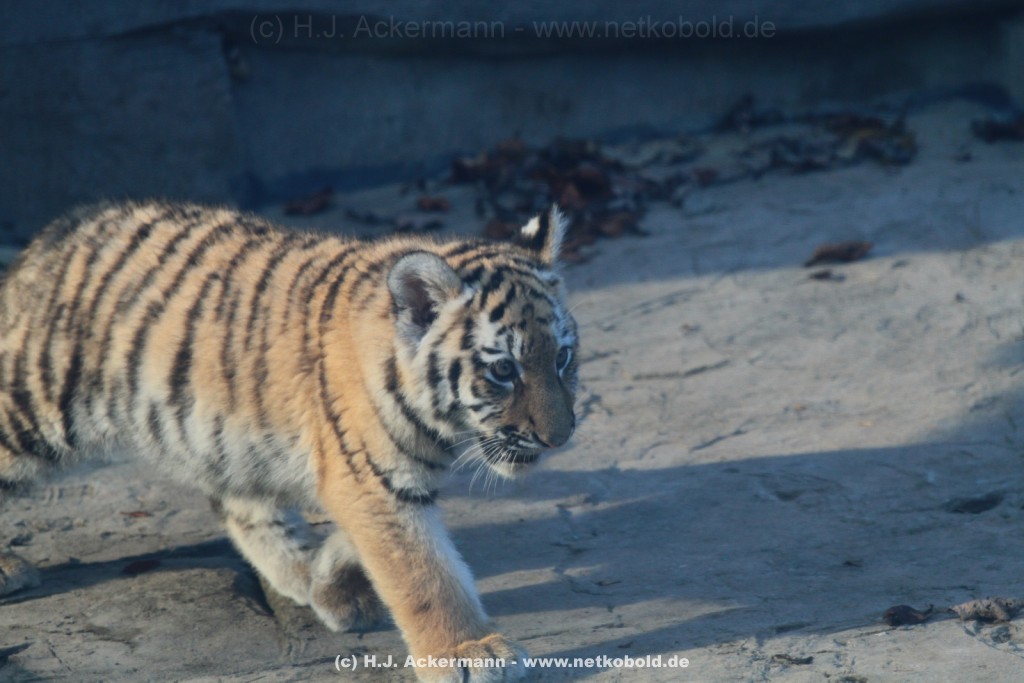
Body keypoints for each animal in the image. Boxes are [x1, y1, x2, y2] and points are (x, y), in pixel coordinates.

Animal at [0, 200, 578, 682]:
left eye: (562, 357)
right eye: (503, 370)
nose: (560, 437)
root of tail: (51, 234)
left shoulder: (365, 484)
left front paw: (334, 575)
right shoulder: (371, 480)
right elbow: (425, 575)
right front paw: (469, 651)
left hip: (224, 439)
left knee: (240, 508)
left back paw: (304, 576)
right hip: (35, 403)